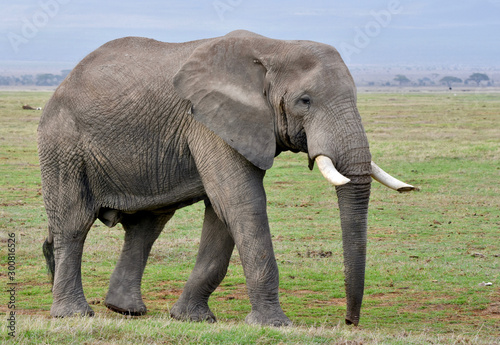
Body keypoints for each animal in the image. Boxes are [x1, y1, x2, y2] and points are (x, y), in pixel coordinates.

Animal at [38, 29, 414, 326]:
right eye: (304, 101)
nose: (349, 322)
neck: (274, 48)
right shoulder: (208, 120)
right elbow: (240, 201)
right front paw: (274, 325)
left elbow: (222, 213)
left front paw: (192, 318)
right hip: (63, 142)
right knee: (74, 222)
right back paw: (73, 314)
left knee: (147, 226)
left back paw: (125, 310)